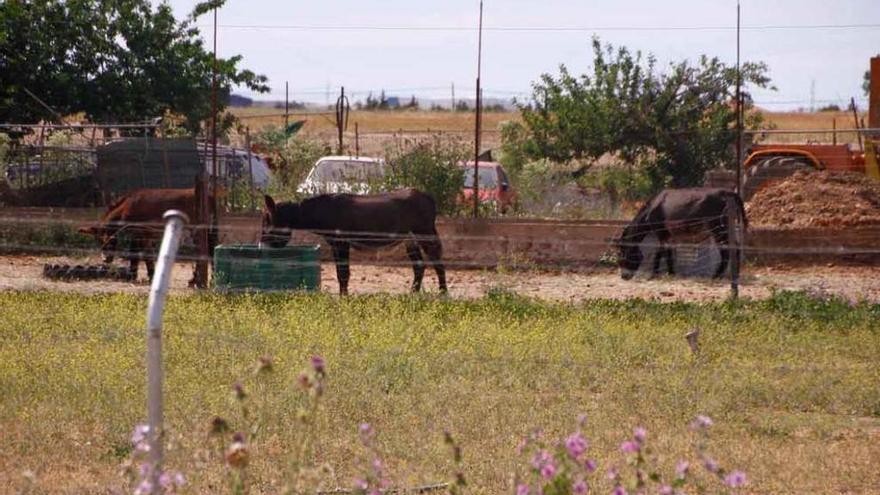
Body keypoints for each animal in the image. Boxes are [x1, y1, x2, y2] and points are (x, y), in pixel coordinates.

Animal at [258, 190, 444, 294]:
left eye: (267, 220)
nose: (260, 246)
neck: (321, 211)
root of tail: (427, 196)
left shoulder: (342, 243)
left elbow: (343, 273)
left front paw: (343, 300)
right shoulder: (335, 243)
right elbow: (340, 273)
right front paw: (343, 297)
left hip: (424, 232)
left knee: (437, 262)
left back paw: (443, 294)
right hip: (409, 239)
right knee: (419, 266)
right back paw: (412, 295)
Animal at [616, 189, 744, 280]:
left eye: (622, 253)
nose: (624, 277)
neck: (651, 209)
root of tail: (726, 192)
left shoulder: (662, 234)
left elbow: (661, 252)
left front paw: (656, 273)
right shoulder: (669, 236)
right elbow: (666, 252)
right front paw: (669, 273)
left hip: (718, 230)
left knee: (728, 251)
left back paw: (717, 276)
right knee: (735, 247)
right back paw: (735, 274)